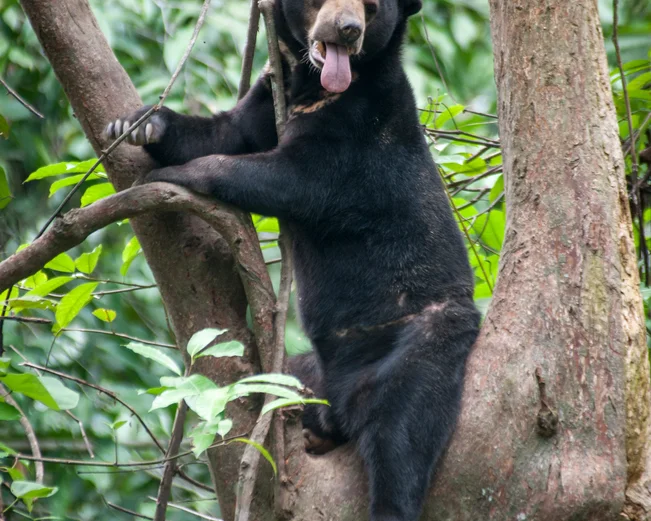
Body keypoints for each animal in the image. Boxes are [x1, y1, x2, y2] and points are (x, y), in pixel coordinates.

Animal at [105, 0, 481, 519]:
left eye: (372, 9)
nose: (348, 29)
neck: (315, 88)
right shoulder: (270, 94)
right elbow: (225, 132)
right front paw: (136, 124)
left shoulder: (362, 130)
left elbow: (297, 178)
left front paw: (175, 173)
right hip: (301, 371)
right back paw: (315, 429)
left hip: (425, 340)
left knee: (402, 436)